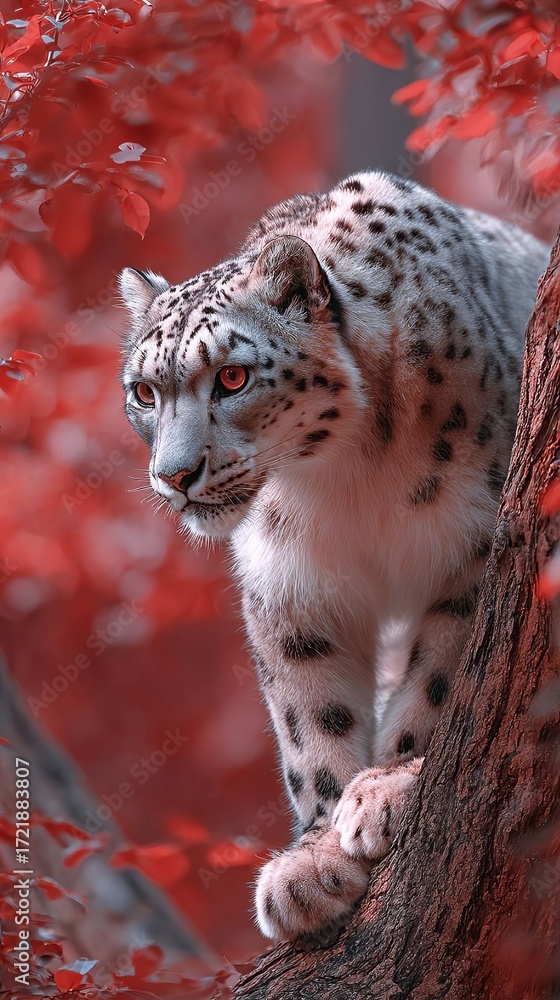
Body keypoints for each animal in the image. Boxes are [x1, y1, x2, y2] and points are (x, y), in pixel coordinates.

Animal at [120, 170, 548, 943]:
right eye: (144, 391)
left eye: (233, 377)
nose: (175, 475)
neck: (345, 475)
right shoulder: (289, 586)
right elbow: (311, 716)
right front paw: (312, 859)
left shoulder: (471, 553)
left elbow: (439, 681)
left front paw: (386, 788)